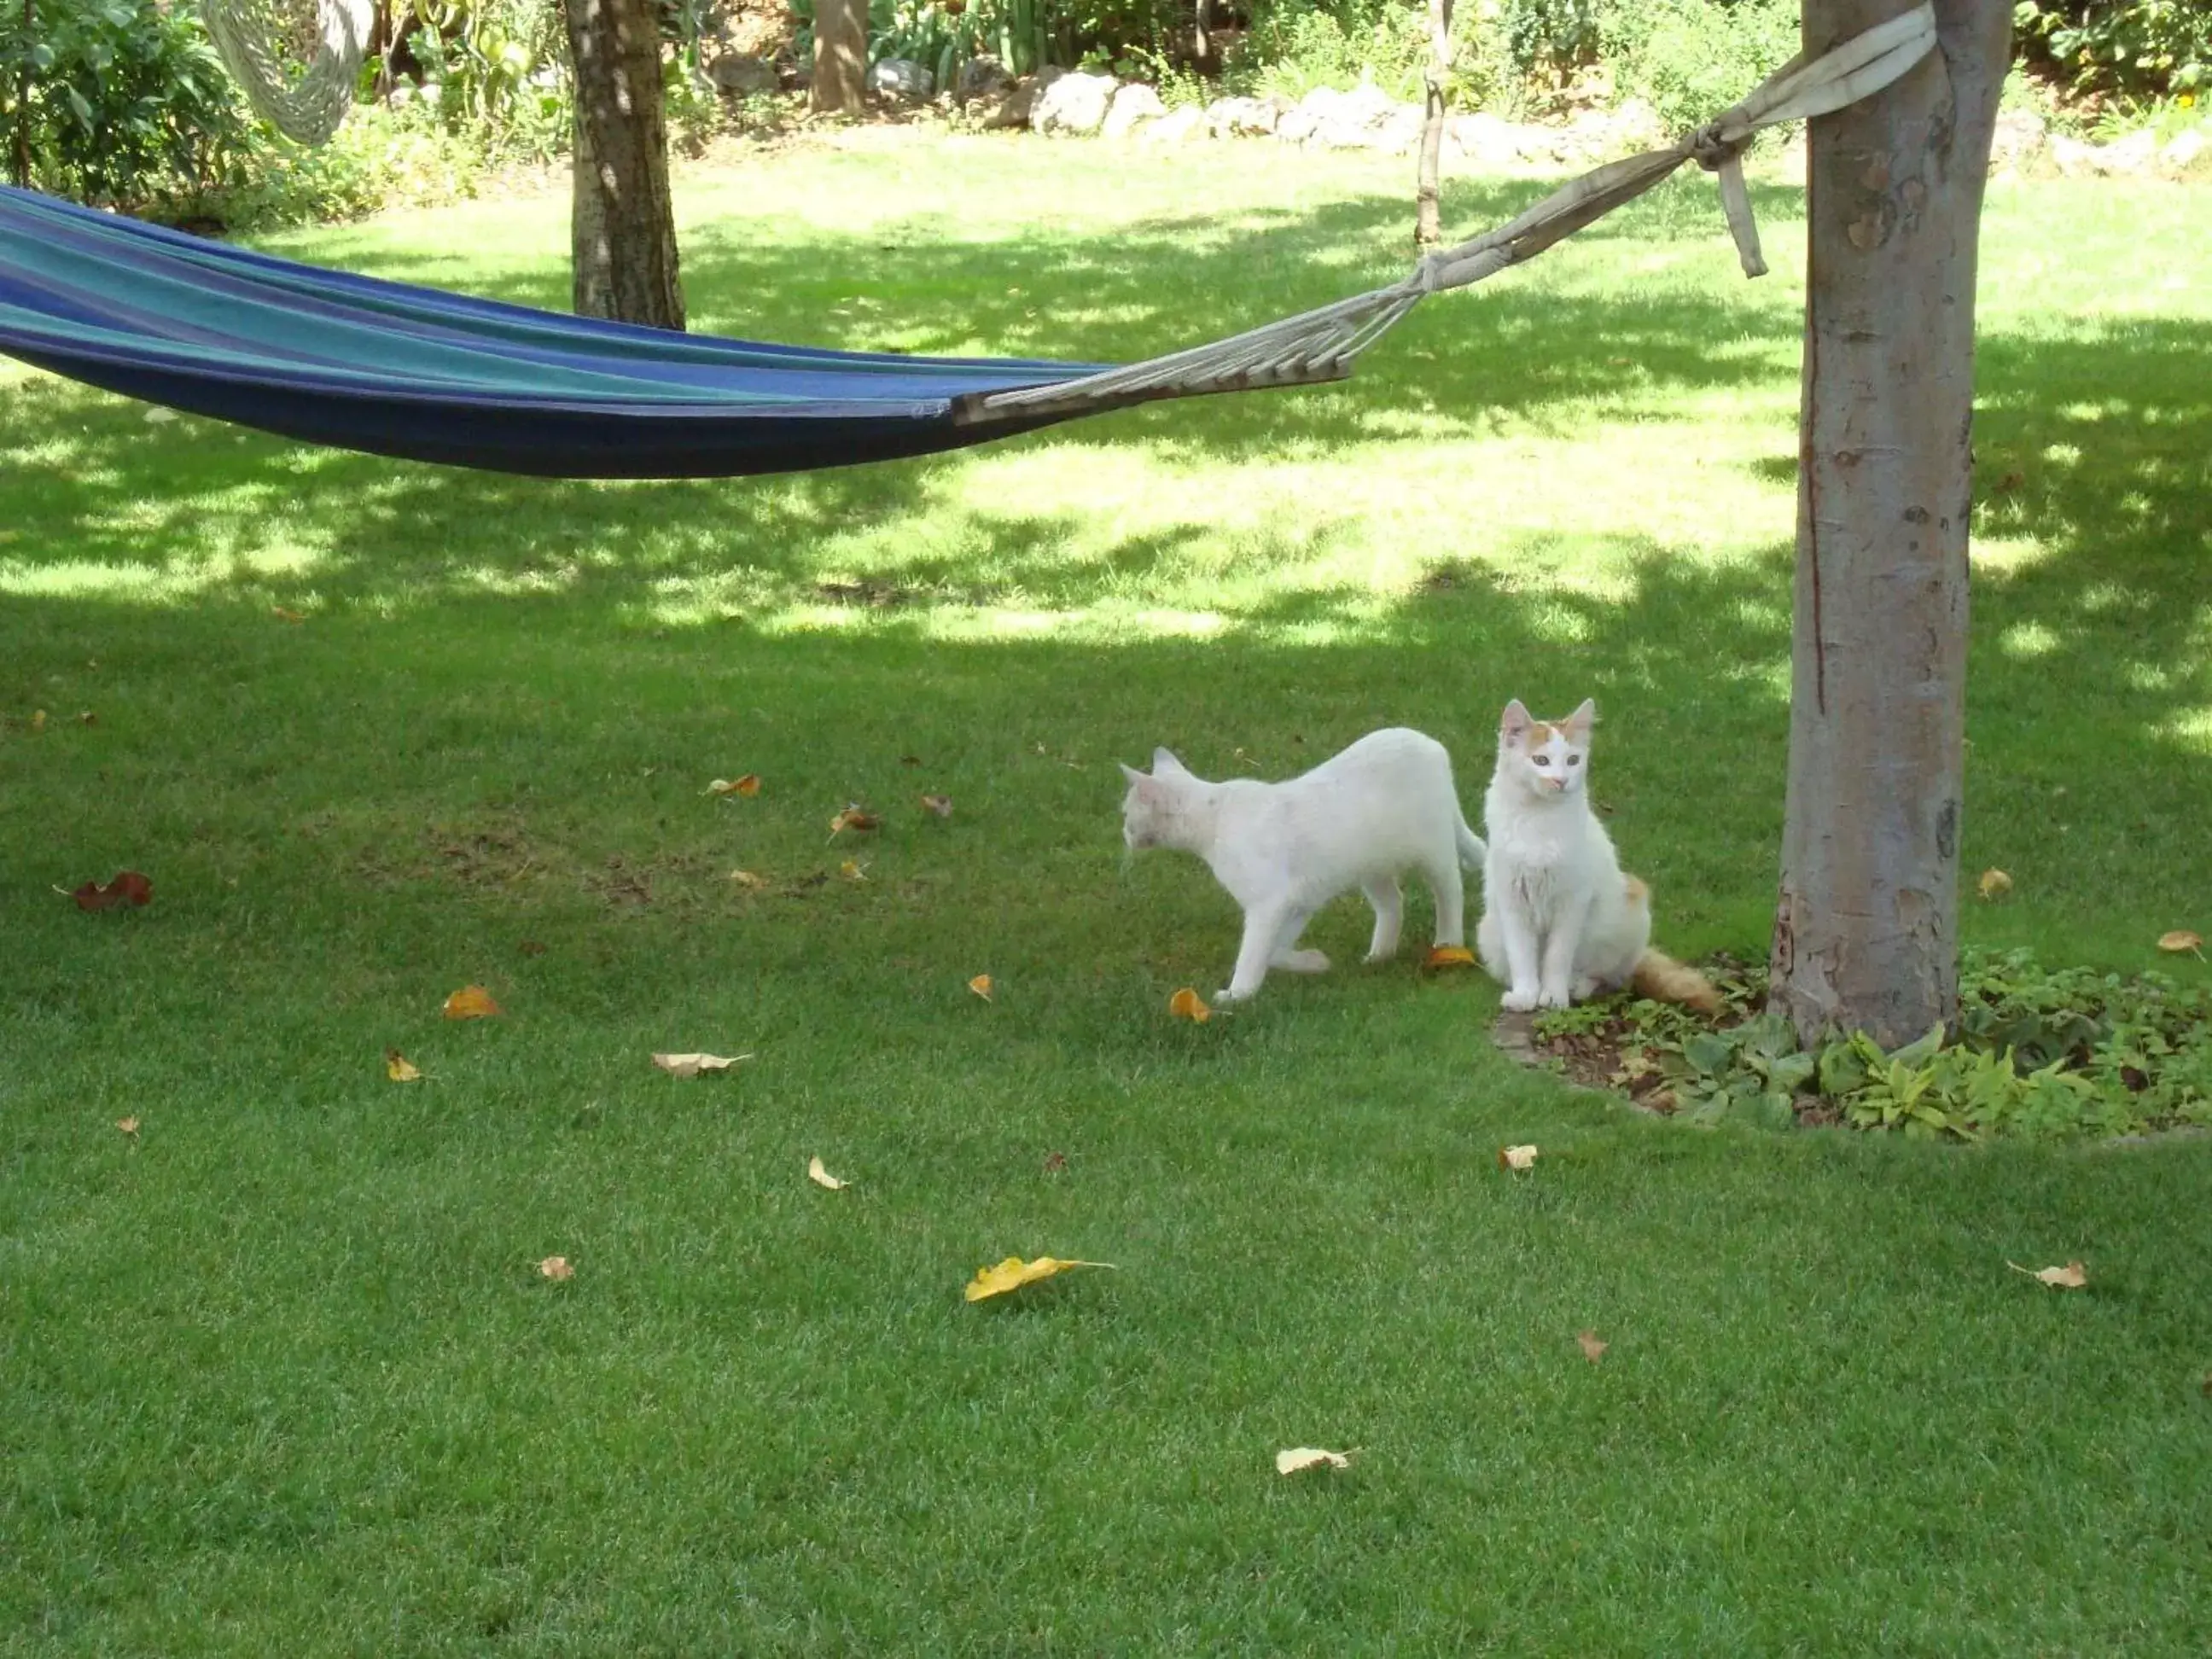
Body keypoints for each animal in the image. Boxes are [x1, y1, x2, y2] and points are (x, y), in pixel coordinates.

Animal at [1123, 734, 1486, 1008]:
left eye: (1126, 813)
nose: (1124, 833)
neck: (1215, 820)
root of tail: (1432, 744)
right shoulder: (1298, 902)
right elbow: (1275, 952)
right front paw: (1314, 962)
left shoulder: (1270, 904)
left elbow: (1253, 953)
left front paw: (1238, 995)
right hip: (1370, 866)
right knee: (1393, 904)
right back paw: (1379, 955)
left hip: (1434, 852)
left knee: (1450, 892)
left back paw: (1448, 945)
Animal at [1477, 699, 1716, 1013]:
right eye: (1540, 761)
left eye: (1572, 760)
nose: (1561, 781)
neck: (1538, 819)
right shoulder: (1512, 900)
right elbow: (1522, 957)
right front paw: (1526, 995)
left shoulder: (1572, 902)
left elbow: (1557, 957)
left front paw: (1553, 996)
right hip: (1488, 930)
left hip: (1629, 909)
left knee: (1608, 977)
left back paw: (1576, 985)